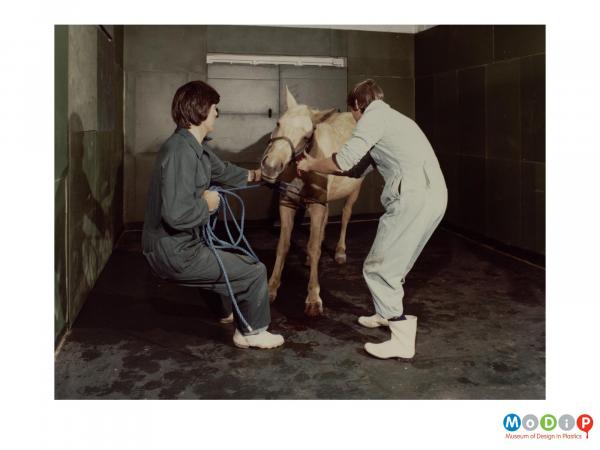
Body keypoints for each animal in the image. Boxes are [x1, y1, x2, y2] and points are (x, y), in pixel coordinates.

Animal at [260, 89, 368, 316]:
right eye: (278, 123)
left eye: (307, 136)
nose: (271, 167)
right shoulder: (288, 204)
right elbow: (283, 246)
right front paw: (271, 289)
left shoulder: (317, 205)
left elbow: (314, 247)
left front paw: (313, 299)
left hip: (353, 190)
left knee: (345, 214)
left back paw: (340, 252)